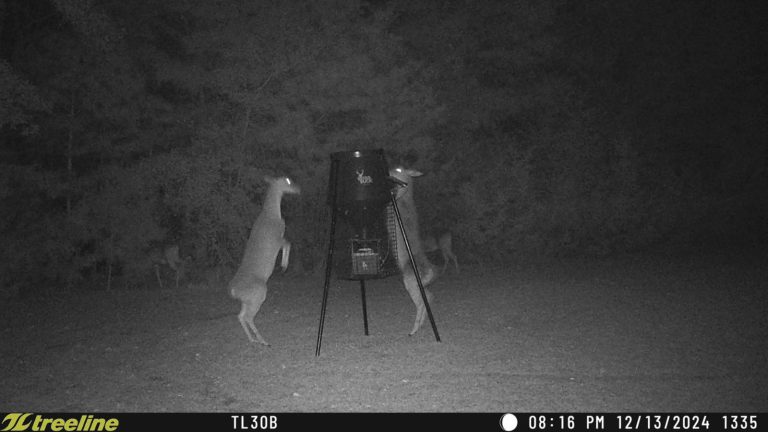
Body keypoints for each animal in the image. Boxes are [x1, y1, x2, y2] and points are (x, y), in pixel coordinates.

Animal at [228, 176, 300, 345]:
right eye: (288, 180)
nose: (298, 189)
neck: (272, 213)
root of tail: (233, 291)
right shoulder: (278, 238)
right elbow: (288, 243)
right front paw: (283, 265)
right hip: (258, 294)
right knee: (248, 317)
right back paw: (263, 340)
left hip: (247, 300)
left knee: (240, 316)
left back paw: (253, 340)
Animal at [388, 167, 437, 336]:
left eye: (398, 170)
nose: (389, 171)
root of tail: (432, 271)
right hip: (420, 283)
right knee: (429, 296)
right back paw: (421, 325)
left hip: (411, 281)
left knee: (422, 301)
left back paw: (413, 330)